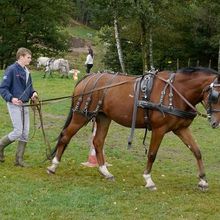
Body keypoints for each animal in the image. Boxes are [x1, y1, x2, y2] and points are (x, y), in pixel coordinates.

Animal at [47, 67, 220, 191]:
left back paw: (105, 172)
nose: (215, 123)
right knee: (65, 136)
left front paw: (203, 180)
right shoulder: (159, 129)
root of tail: (87, 78)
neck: (176, 92)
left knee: (98, 142)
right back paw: (53, 166)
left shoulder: (181, 129)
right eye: (215, 96)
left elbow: (196, 151)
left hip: (103, 117)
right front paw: (148, 180)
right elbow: (152, 154)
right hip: (81, 115)